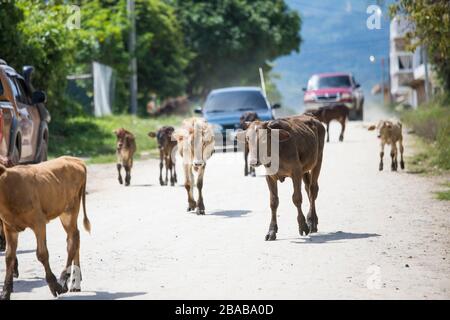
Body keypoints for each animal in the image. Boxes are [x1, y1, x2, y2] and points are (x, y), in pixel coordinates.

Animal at [0, 157, 90, 300]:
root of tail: (74, 159)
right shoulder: (9, 227)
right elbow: (9, 257)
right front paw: (5, 292)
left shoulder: (39, 222)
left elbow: (42, 253)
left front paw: (54, 285)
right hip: (65, 211)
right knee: (75, 237)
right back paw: (75, 281)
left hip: (70, 209)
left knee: (73, 241)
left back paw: (63, 280)